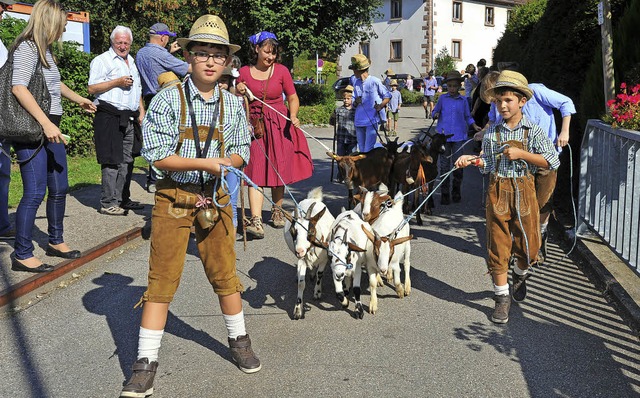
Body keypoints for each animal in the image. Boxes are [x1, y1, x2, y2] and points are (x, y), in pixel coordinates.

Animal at [284, 187, 336, 320]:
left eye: (311, 231)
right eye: (292, 231)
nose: (299, 251)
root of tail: (313, 198)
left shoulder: (324, 259)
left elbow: (320, 274)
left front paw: (317, 292)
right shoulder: (302, 260)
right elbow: (301, 284)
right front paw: (297, 310)